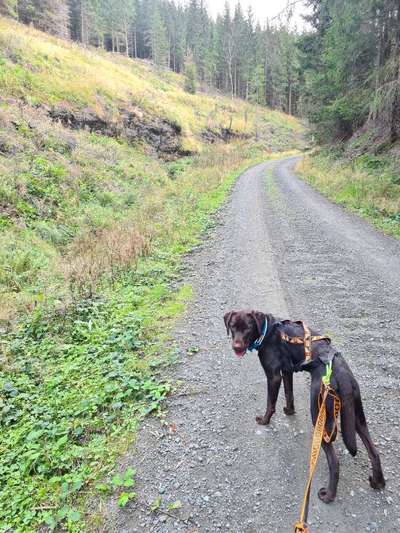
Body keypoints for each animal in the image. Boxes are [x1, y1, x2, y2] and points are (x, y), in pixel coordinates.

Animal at [223, 310, 386, 500]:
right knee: (374, 453)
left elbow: (271, 403)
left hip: (319, 414)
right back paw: (377, 483)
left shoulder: (273, 376)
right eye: (233, 326)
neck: (267, 329)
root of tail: (342, 375)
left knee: (334, 462)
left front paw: (264, 420)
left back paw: (328, 495)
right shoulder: (286, 371)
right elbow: (289, 395)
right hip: (355, 415)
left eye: (248, 327)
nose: (236, 347)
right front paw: (289, 411)